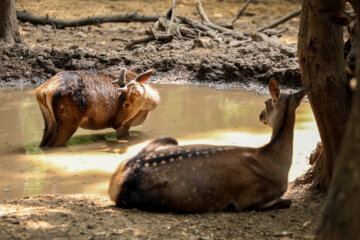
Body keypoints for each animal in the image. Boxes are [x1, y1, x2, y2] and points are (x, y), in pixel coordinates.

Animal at [108, 78, 308, 213]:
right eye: (266, 102)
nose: (260, 115)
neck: (274, 161)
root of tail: (116, 181)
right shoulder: (250, 200)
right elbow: (288, 201)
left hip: (167, 139)